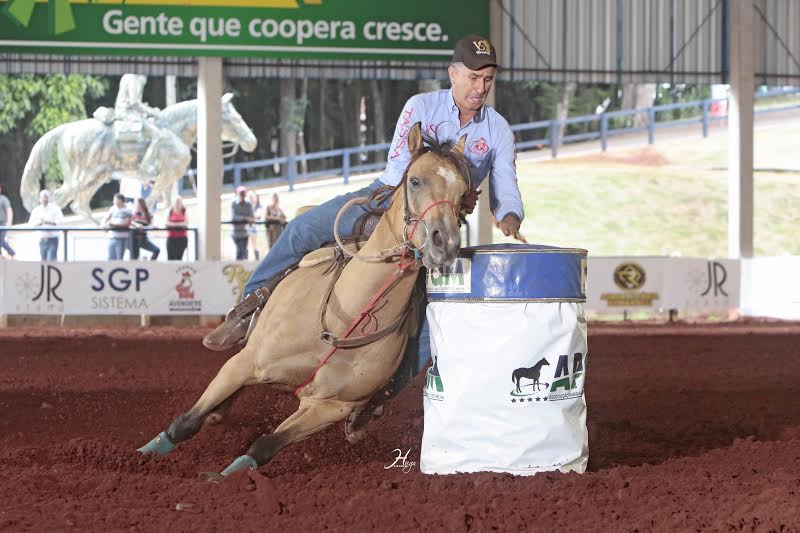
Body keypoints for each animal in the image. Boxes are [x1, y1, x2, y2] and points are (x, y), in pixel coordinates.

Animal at [19, 93, 256, 222]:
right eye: (234, 119)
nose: (251, 142)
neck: (172, 130)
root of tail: (64, 130)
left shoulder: (170, 177)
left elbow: (167, 204)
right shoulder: (167, 174)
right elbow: (152, 202)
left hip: (96, 178)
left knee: (79, 205)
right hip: (82, 177)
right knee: (59, 200)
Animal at [138, 122, 472, 480]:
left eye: (463, 192)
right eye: (415, 180)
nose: (445, 243)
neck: (345, 318)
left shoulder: (329, 406)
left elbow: (265, 445)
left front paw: (222, 477)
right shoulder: (246, 363)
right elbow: (186, 422)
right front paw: (143, 455)